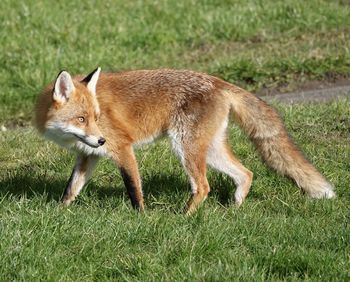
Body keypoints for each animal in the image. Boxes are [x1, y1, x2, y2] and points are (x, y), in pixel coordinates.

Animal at [34, 67, 334, 214]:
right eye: (82, 119)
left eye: (95, 117)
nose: (101, 139)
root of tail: (219, 82)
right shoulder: (88, 155)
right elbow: (71, 189)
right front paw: (59, 213)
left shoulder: (122, 148)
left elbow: (134, 190)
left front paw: (141, 217)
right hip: (209, 150)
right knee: (245, 173)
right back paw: (235, 208)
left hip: (185, 147)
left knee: (203, 187)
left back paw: (184, 216)